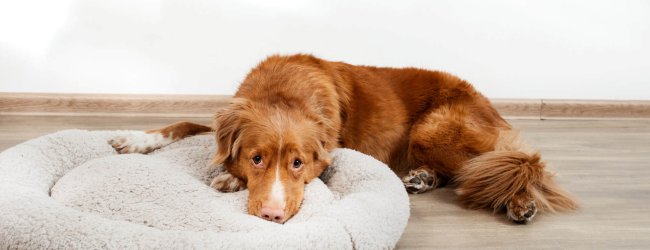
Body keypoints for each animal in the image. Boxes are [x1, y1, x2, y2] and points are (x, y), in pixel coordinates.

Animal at [109, 53, 576, 224]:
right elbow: (185, 124)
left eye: (298, 163)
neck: (284, 89)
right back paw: (421, 178)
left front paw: (226, 178)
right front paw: (135, 139)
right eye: (257, 158)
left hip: (433, 130)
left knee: (516, 166)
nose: (273, 214)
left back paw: (520, 202)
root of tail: (490, 105)